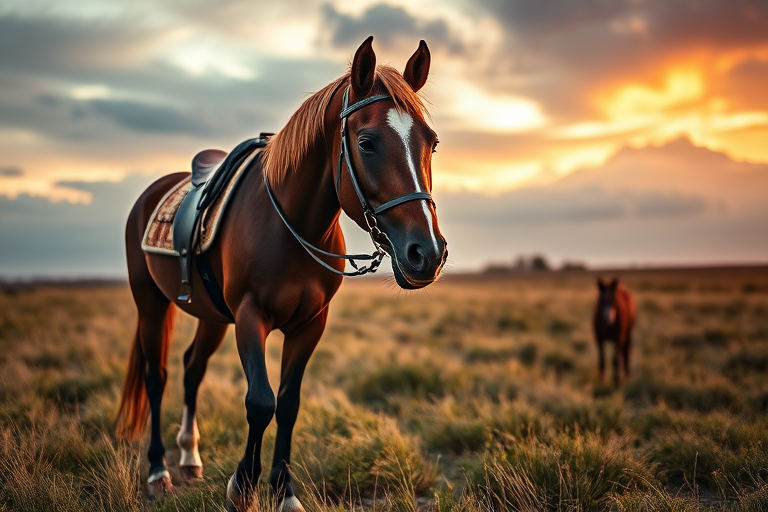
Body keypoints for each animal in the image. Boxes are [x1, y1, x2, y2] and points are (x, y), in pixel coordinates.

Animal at [116, 36, 447, 512]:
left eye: (431, 143)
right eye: (366, 142)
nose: (427, 253)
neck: (292, 227)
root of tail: (153, 191)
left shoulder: (310, 325)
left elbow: (288, 403)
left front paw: (283, 491)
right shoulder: (250, 317)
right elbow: (260, 402)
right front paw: (243, 486)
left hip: (212, 316)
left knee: (192, 368)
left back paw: (190, 457)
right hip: (151, 304)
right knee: (156, 376)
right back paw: (159, 471)